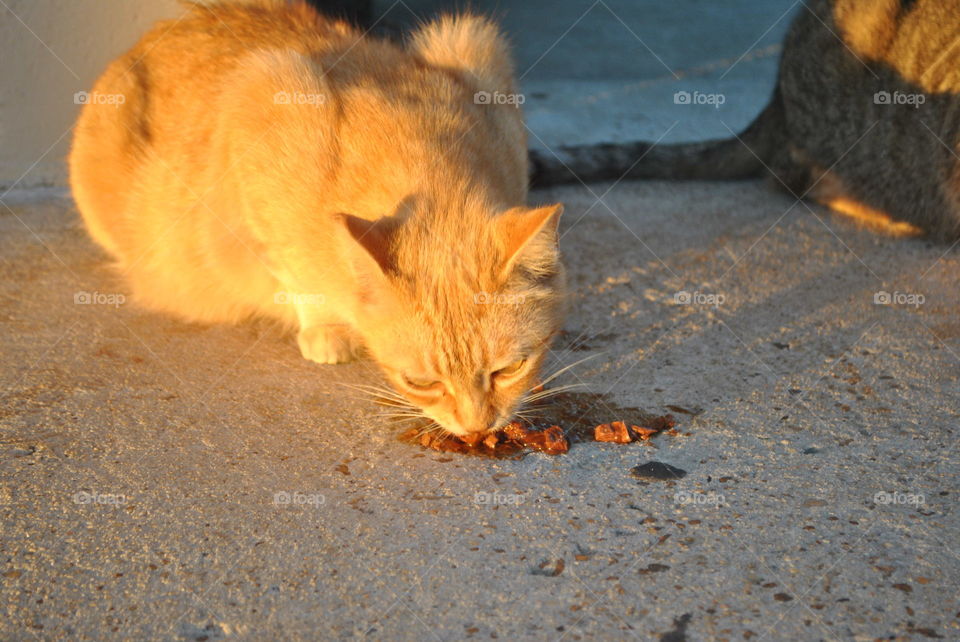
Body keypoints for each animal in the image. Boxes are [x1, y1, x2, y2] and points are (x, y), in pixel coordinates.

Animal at [71, 0, 568, 438]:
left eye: (510, 369)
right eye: (421, 383)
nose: (478, 427)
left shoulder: (481, 58)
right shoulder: (259, 107)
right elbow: (296, 271)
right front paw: (327, 327)